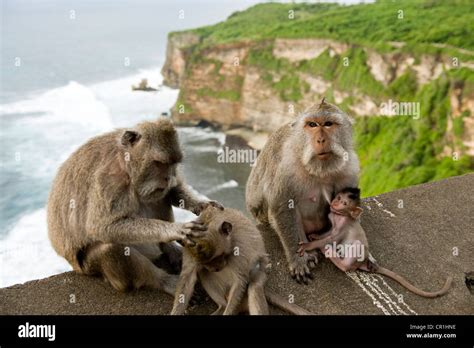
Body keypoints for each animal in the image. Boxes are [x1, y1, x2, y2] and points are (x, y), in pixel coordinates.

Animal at [47, 119, 221, 294]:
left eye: (172, 164)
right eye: (159, 163)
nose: (167, 177)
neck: (125, 163)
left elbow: (172, 190)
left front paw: (201, 204)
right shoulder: (109, 180)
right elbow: (100, 227)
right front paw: (175, 229)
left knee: (158, 197)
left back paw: (168, 247)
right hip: (89, 267)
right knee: (110, 248)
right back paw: (164, 281)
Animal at [170, 207, 312, 316]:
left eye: (221, 255)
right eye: (207, 263)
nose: (218, 268)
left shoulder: (238, 247)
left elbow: (240, 280)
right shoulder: (189, 252)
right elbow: (187, 278)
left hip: (261, 272)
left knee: (254, 285)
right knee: (203, 273)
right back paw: (222, 306)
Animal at [246, 98, 358, 282]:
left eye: (328, 124)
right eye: (312, 124)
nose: (320, 140)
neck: (319, 170)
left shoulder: (350, 167)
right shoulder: (286, 168)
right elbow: (283, 207)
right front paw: (298, 259)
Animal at [298, 188, 454, 300]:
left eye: (345, 204)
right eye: (338, 198)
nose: (335, 203)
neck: (340, 216)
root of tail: (363, 262)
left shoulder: (343, 227)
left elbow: (332, 238)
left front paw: (309, 245)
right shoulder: (333, 221)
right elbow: (328, 233)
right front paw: (314, 236)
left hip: (356, 255)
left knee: (349, 258)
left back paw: (329, 252)